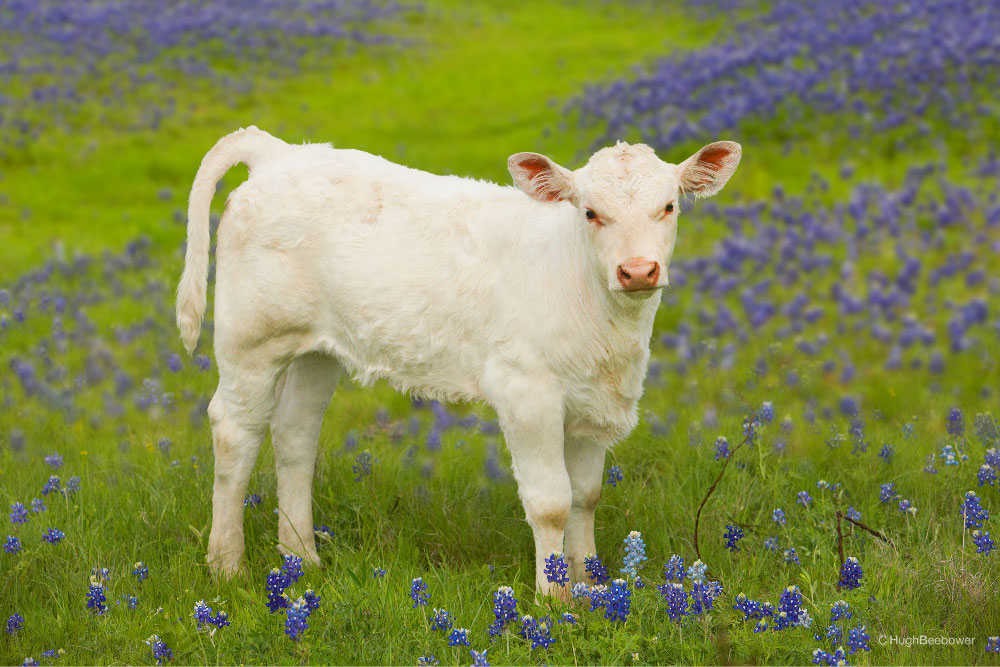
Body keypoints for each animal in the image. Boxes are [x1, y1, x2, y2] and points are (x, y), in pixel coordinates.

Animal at [176, 126, 740, 598]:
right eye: (590, 212)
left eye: (668, 206)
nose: (638, 270)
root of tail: (277, 152)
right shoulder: (527, 392)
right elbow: (551, 501)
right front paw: (554, 597)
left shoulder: (592, 404)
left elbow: (586, 495)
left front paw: (589, 585)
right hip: (250, 342)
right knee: (235, 432)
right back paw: (227, 566)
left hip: (315, 351)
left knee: (295, 433)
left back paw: (302, 558)